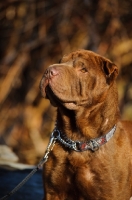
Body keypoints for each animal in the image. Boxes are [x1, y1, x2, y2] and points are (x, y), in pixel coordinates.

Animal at [39, 48, 132, 200]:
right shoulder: (53, 191)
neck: (78, 140)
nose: (48, 70)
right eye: (61, 61)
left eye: (83, 69)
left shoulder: (110, 194)